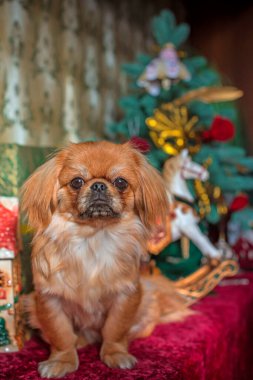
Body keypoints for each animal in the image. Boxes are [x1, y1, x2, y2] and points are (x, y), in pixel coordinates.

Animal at [21, 142, 190, 378]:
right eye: (77, 182)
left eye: (120, 182)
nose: (99, 186)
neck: (93, 238)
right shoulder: (49, 299)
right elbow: (61, 335)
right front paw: (62, 361)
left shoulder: (125, 296)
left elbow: (114, 330)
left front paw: (115, 354)